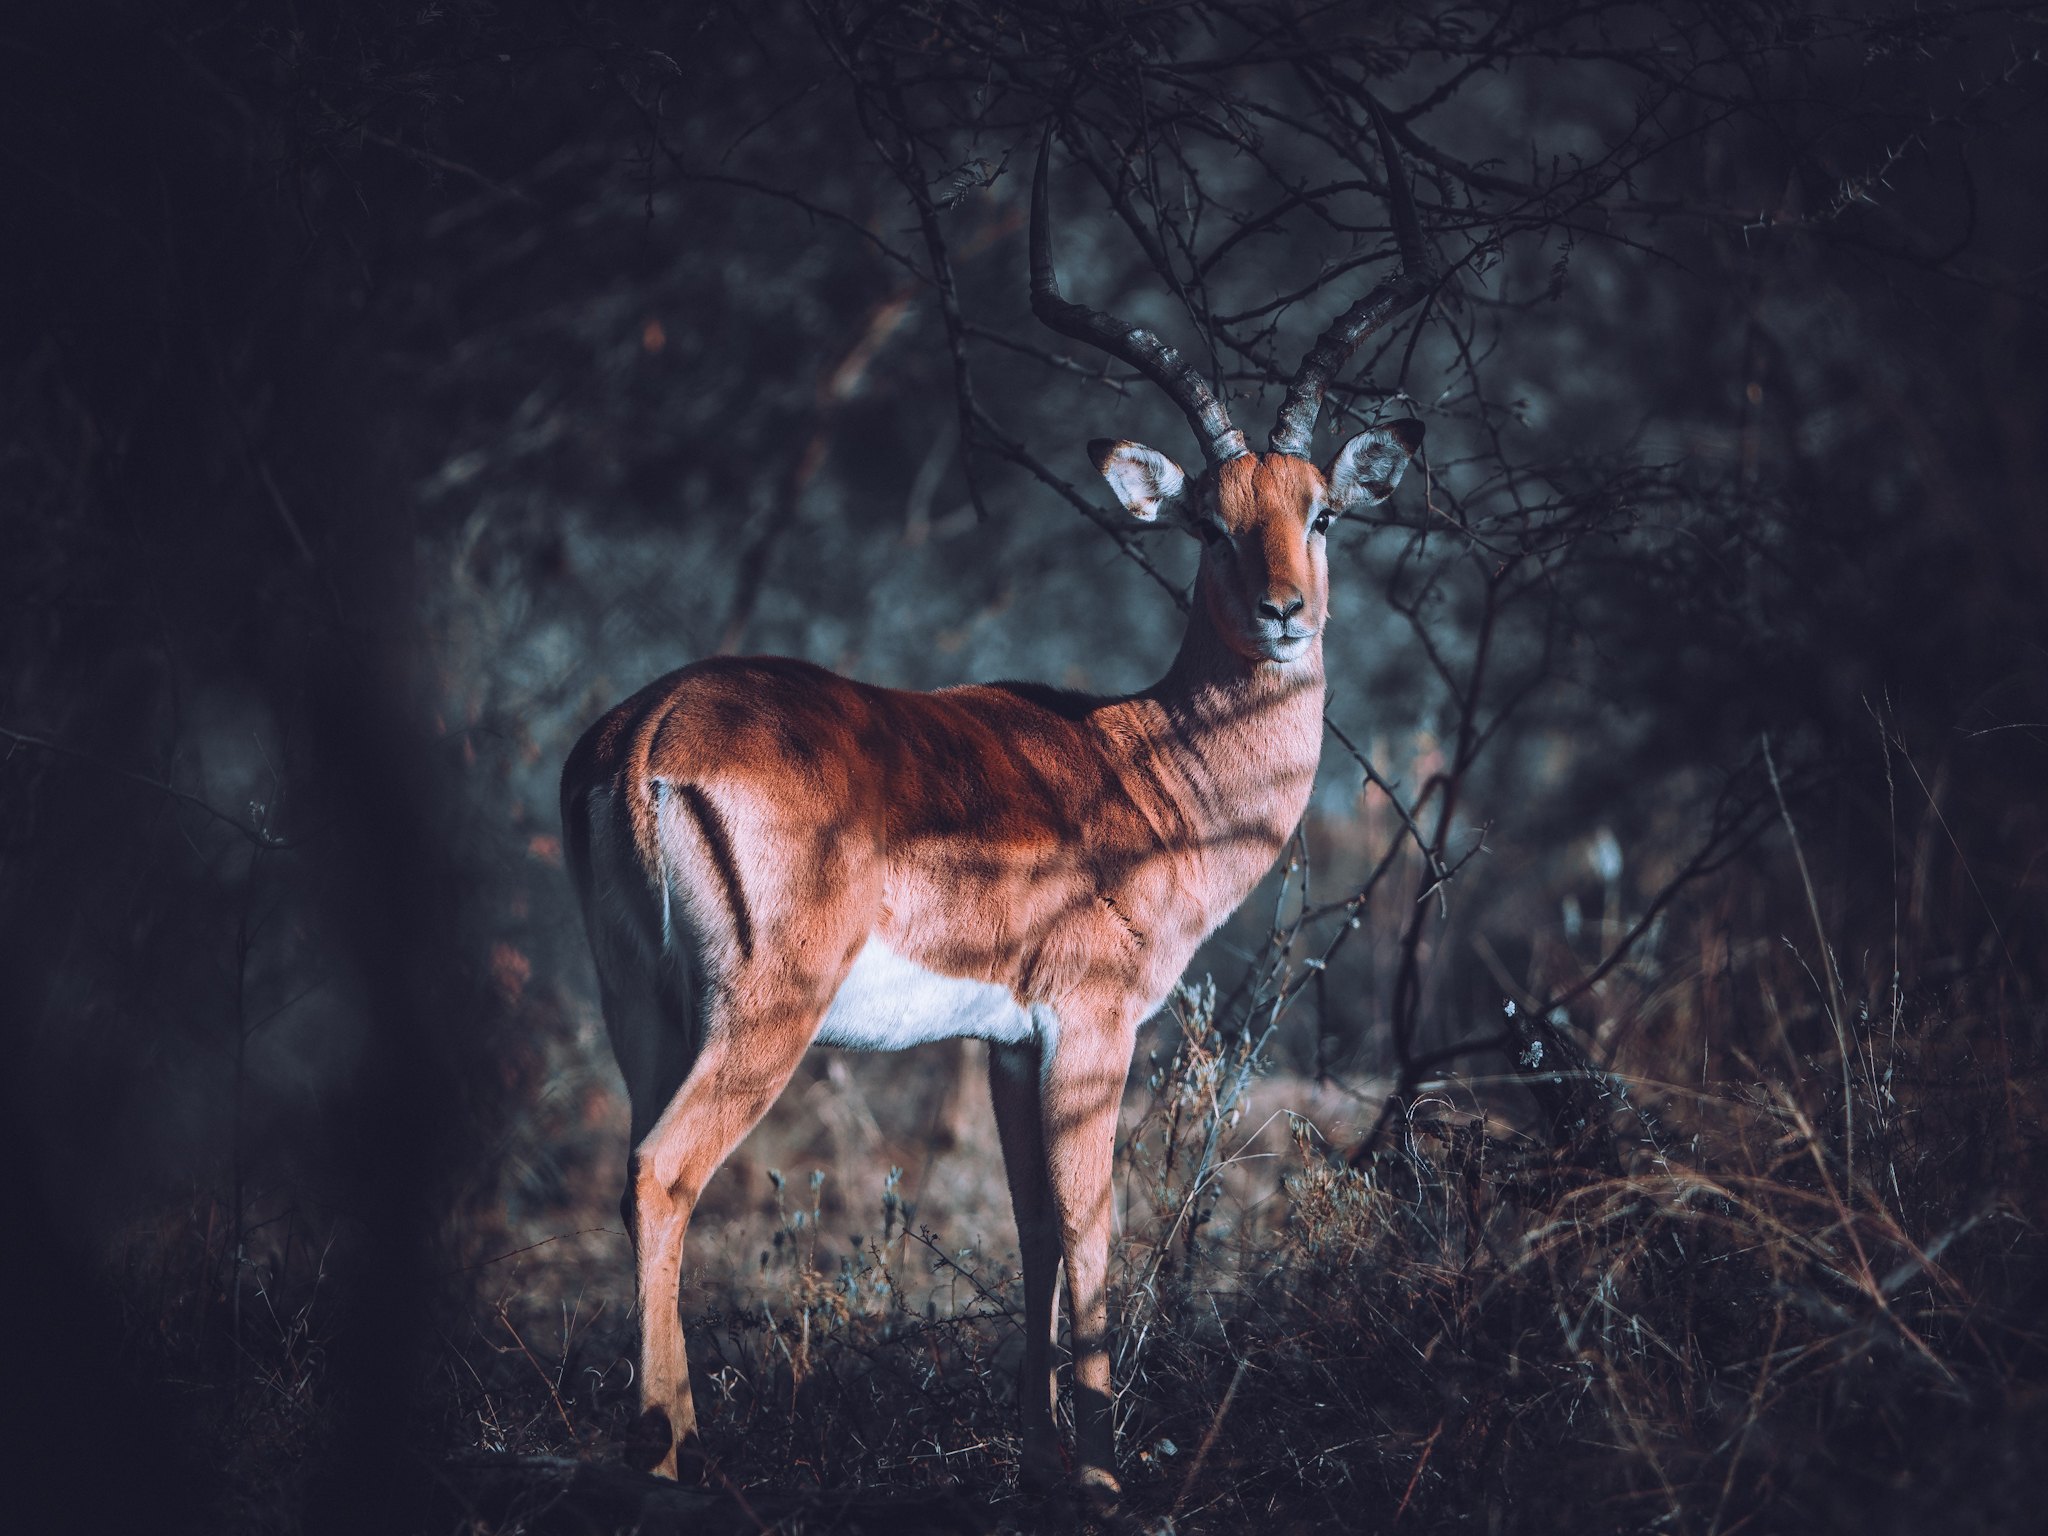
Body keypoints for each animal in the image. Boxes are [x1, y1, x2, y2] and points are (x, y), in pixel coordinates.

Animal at [560, 121, 1433, 1500]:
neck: (1149, 762)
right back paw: (668, 1445)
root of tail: (648, 731)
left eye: (1323, 509)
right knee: (664, 1168)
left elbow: (1032, 1233)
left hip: (640, 1007)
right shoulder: (1088, 1028)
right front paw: (1102, 1473)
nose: (1285, 613)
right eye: (1207, 520)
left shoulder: (1007, 1046)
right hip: (761, 1016)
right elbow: (1090, 1227)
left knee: (636, 1158)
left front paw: (1038, 1454)